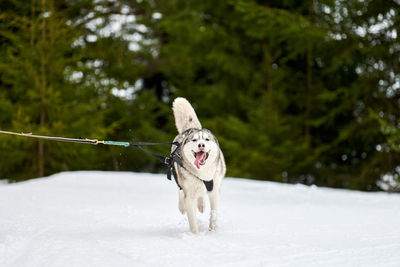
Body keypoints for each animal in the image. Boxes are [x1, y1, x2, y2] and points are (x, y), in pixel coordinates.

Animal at [171, 98, 225, 234]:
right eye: (194, 140)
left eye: (206, 139)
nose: (201, 145)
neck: (203, 174)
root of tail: (192, 128)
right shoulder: (189, 196)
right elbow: (193, 222)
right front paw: (195, 236)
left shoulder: (214, 191)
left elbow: (214, 214)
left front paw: (213, 231)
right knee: (181, 192)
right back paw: (182, 207)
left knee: (200, 195)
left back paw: (201, 205)